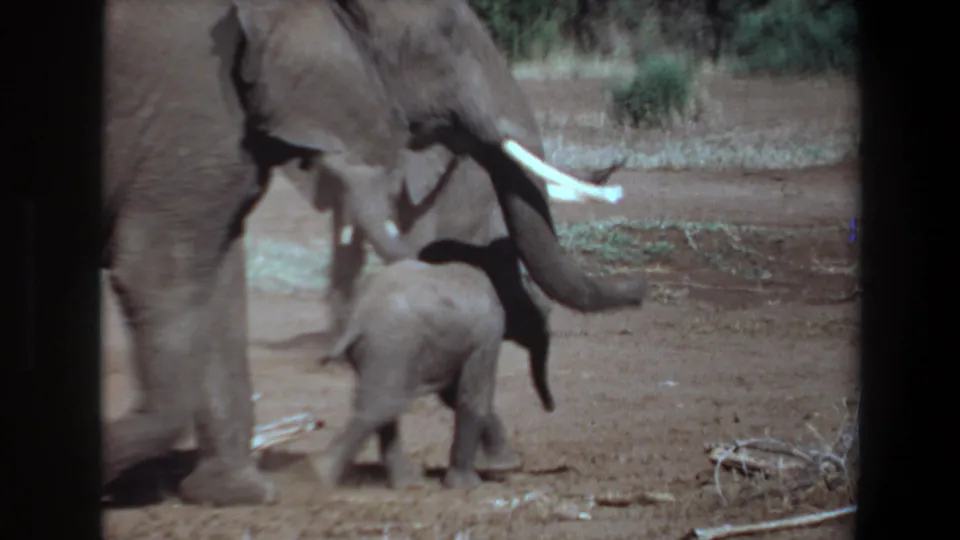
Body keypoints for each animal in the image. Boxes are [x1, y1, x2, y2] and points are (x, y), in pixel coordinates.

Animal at [315, 237, 556, 490]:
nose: (550, 407)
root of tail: (357, 318)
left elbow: (453, 395)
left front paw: (506, 467)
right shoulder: (486, 330)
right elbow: (472, 395)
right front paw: (469, 484)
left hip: (378, 349)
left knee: (382, 404)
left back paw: (407, 483)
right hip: (393, 344)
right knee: (382, 404)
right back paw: (318, 475)